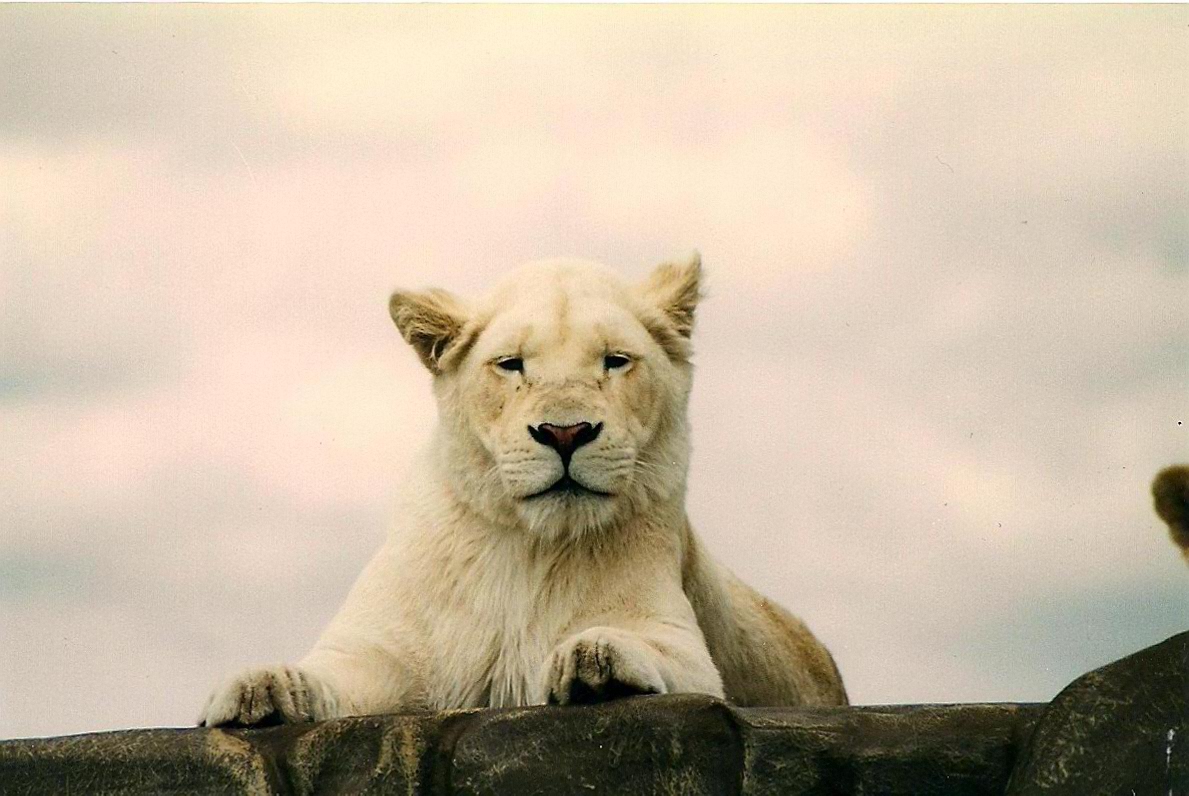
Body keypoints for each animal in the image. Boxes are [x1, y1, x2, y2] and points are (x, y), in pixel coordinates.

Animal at [199, 254, 847, 727]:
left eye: (616, 361)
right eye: (511, 364)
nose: (565, 432)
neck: (525, 547)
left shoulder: (687, 650)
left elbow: (648, 649)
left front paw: (595, 661)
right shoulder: (378, 653)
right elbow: (325, 677)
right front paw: (257, 689)